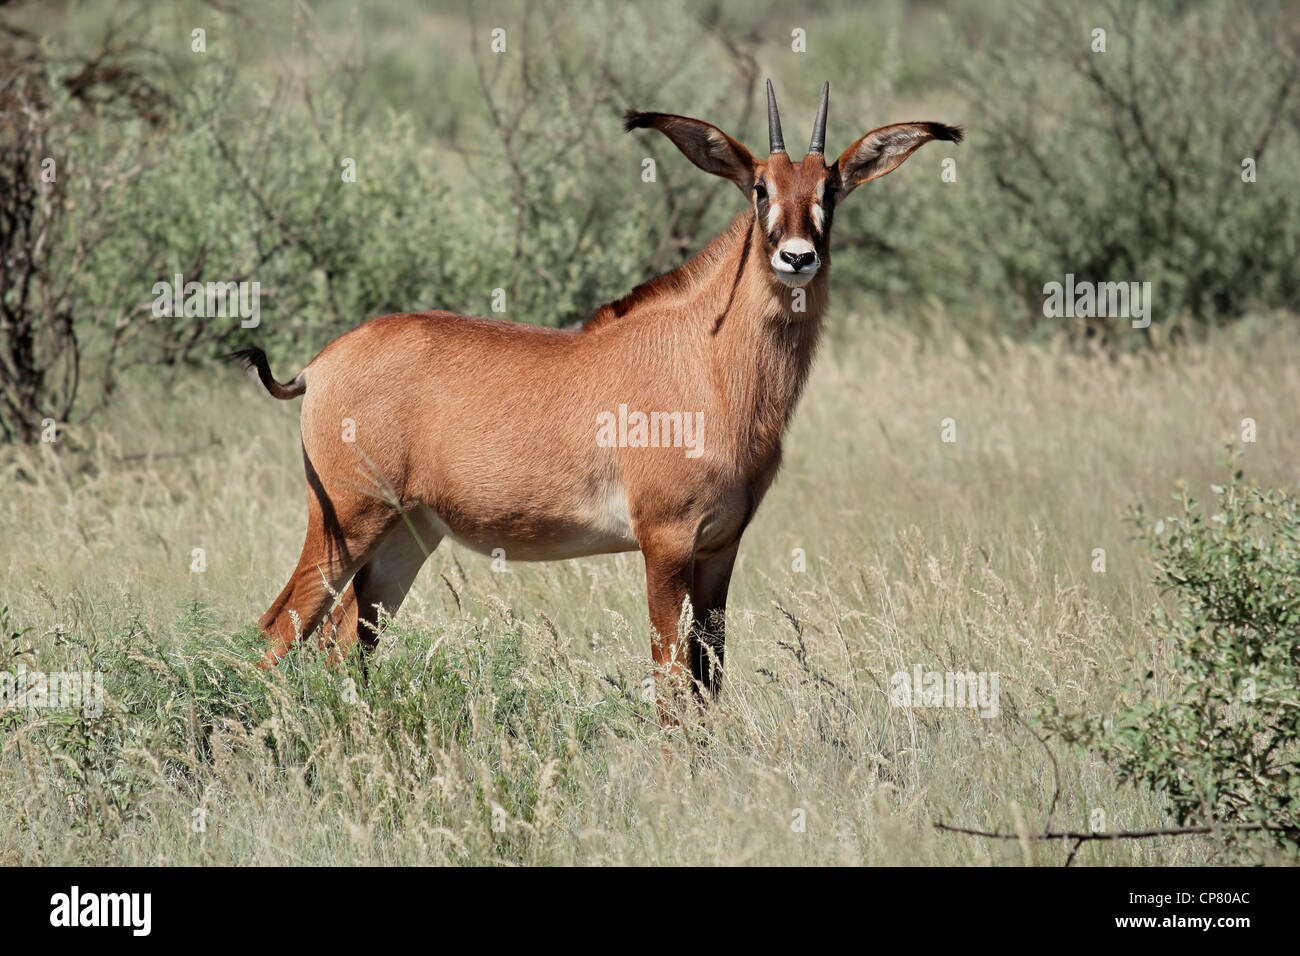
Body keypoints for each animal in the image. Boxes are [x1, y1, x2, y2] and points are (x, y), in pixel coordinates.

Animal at [233, 81, 961, 721]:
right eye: (761, 187)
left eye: (830, 188)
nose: (797, 257)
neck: (707, 360)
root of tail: (319, 366)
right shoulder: (665, 542)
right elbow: (672, 688)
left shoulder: (720, 549)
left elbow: (709, 684)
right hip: (349, 522)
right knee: (276, 631)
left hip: (403, 539)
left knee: (341, 645)